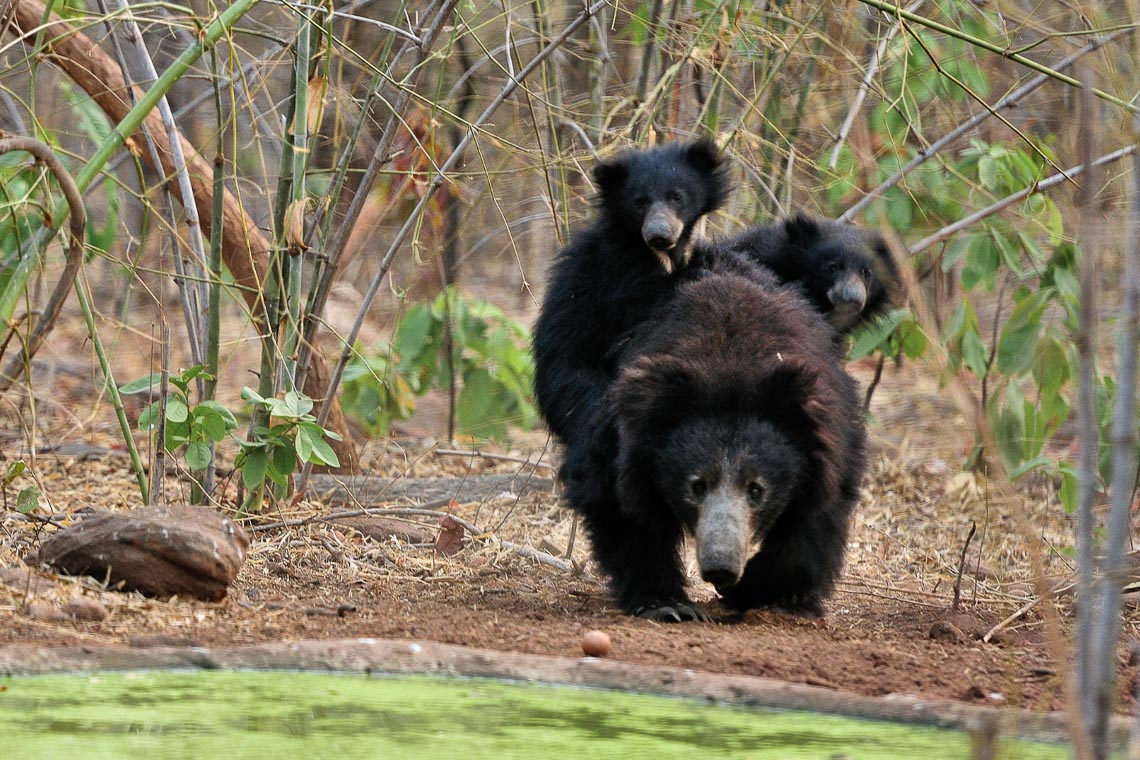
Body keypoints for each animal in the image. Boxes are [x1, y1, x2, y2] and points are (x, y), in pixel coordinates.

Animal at [606, 273, 861, 624]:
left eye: (756, 490)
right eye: (697, 486)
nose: (721, 569)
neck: (731, 366)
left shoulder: (829, 449)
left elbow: (816, 519)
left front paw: (757, 592)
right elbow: (630, 512)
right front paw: (667, 605)